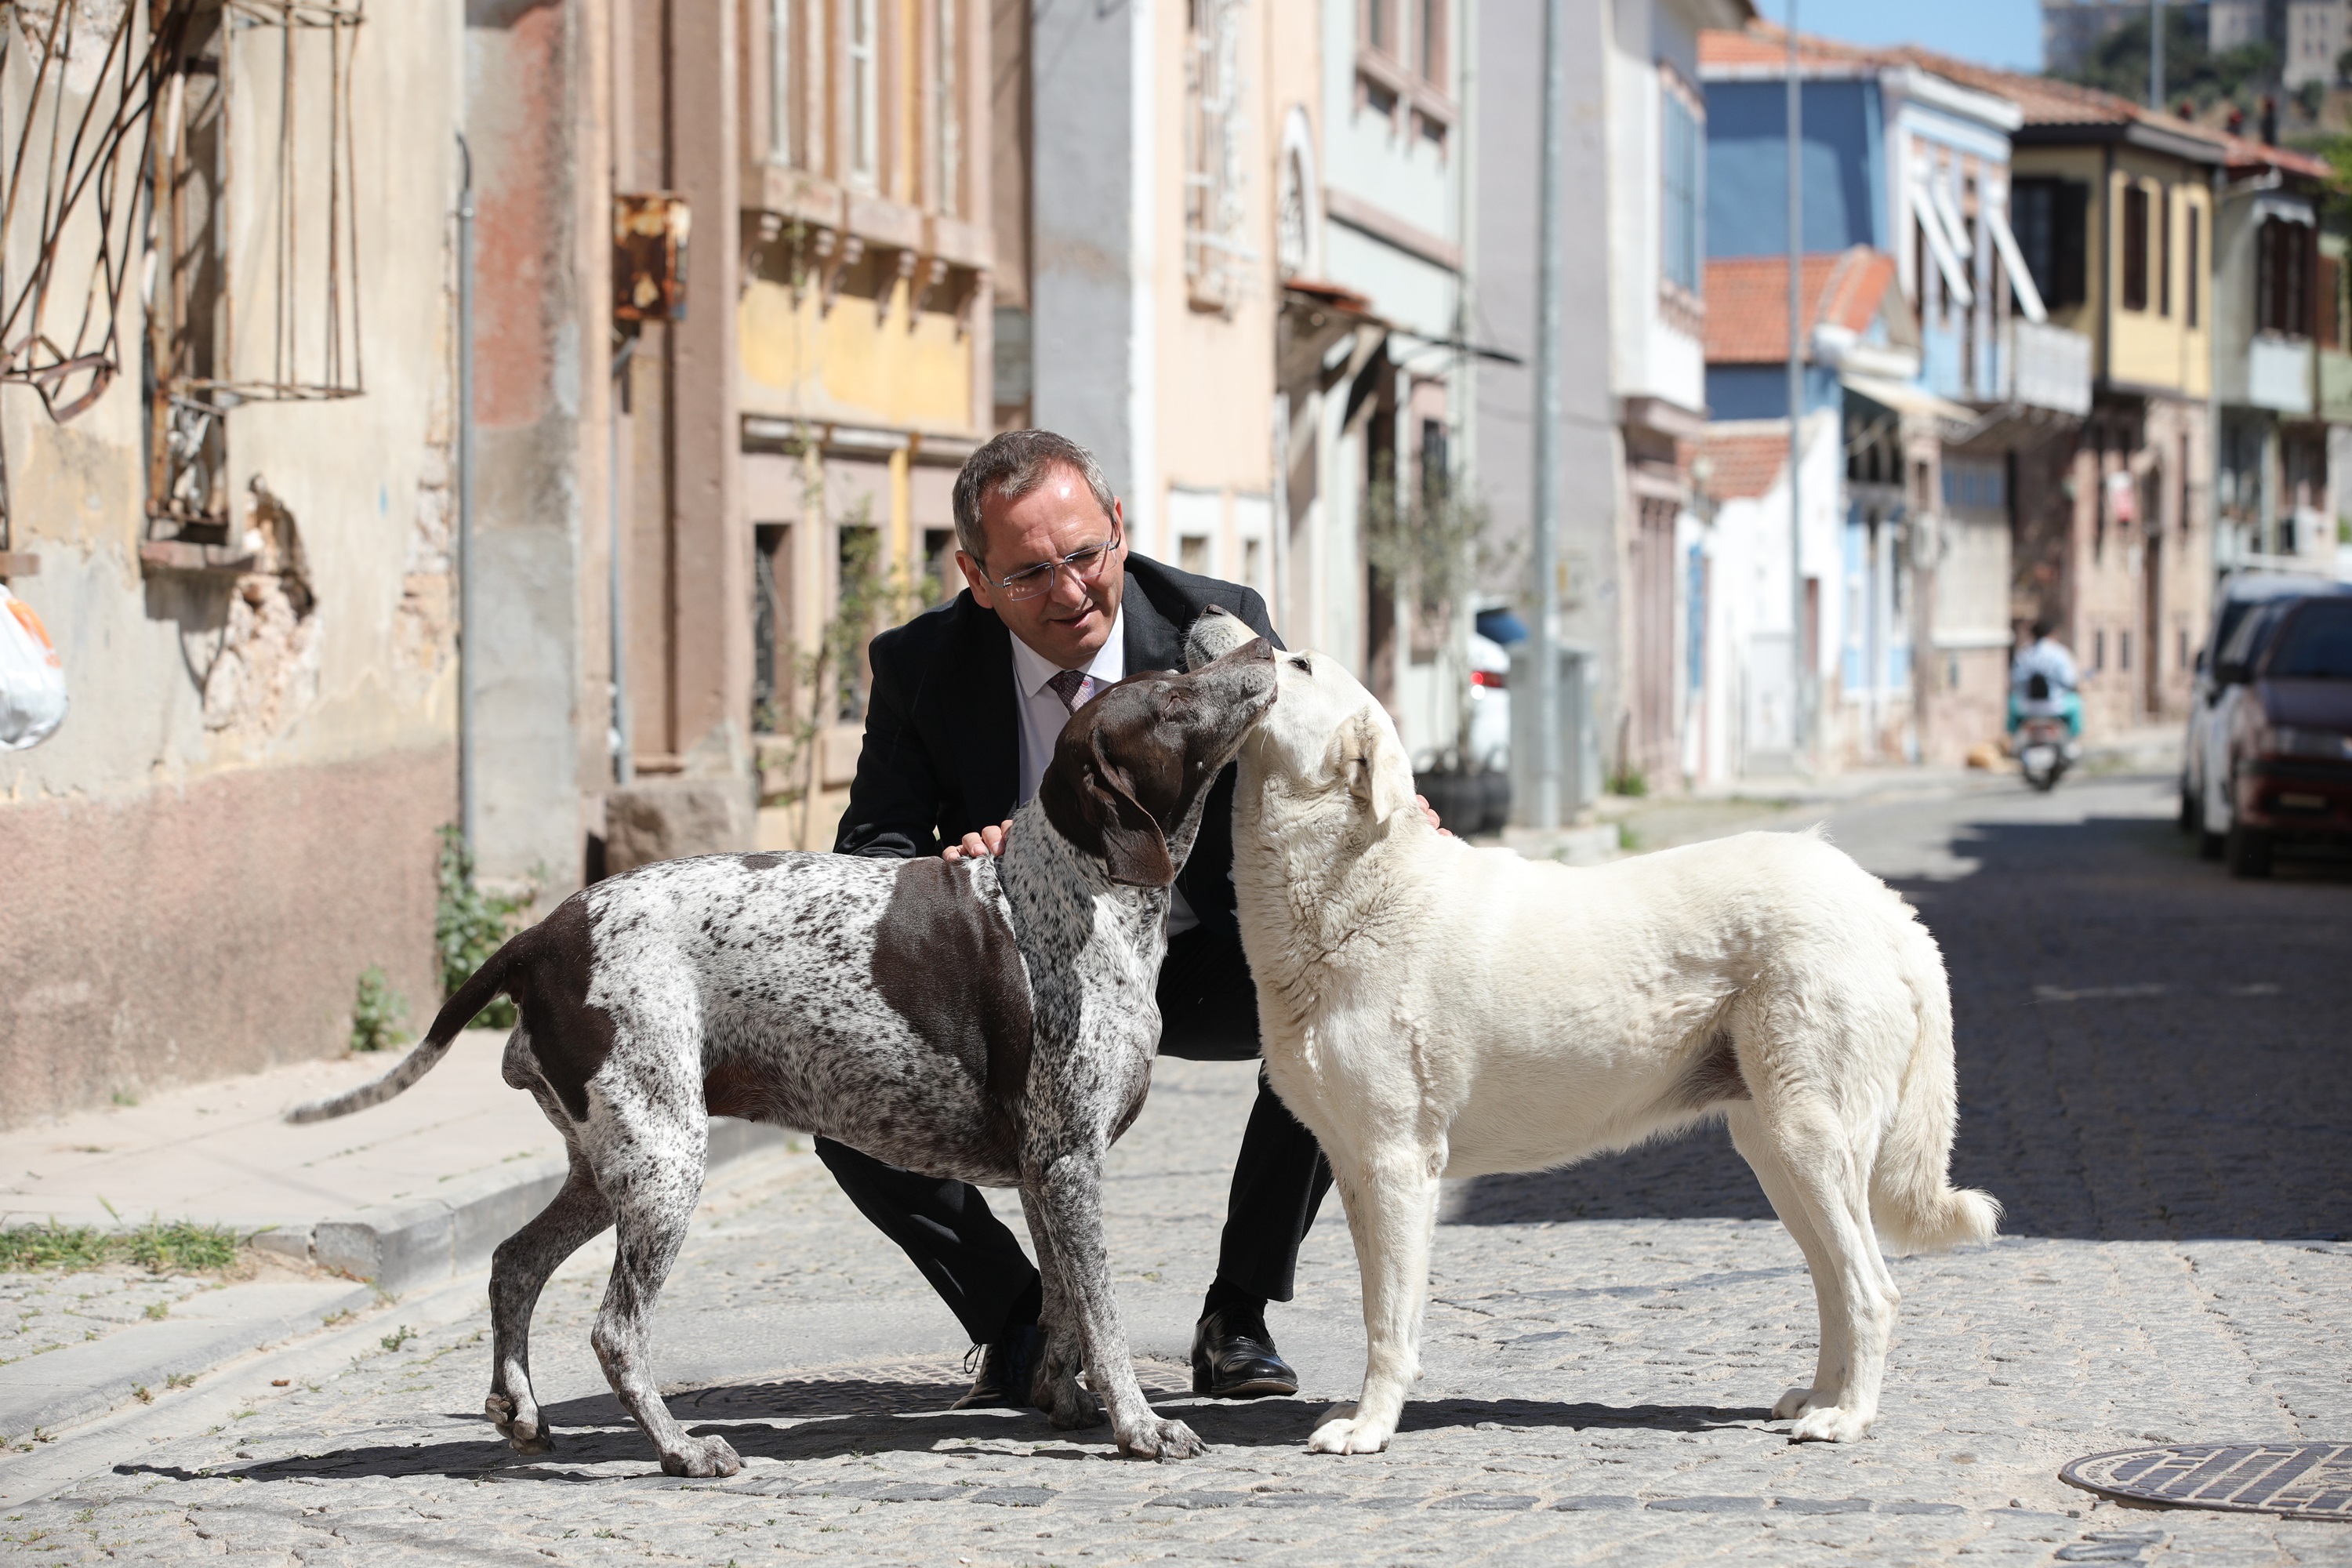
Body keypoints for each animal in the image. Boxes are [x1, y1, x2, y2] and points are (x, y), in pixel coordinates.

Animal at [296, 634, 1289, 1476]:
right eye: (1171, 695)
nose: (1263, 643)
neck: (1082, 888)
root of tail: (545, 933)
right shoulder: (1072, 1161)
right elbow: (1103, 1312)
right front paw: (1140, 1425)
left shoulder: (1048, 1168)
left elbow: (1064, 1306)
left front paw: (1065, 1398)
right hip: (664, 1164)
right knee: (615, 1329)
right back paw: (681, 1449)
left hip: (607, 1161)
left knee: (512, 1261)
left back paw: (522, 1411)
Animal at [1185, 611, 1994, 1457]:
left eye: (1299, 663)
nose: (1208, 616)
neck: (1355, 883)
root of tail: (1889, 907)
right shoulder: (1352, 1163)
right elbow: (1380, 1303)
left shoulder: (1399, 1162)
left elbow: (1387, 1319)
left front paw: (1370, 1426)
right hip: (1774, 1148)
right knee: (1834, 1279)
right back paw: (1818, 1397)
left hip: (1811, 1138)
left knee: (1872, 1287)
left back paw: (1846, 1418)